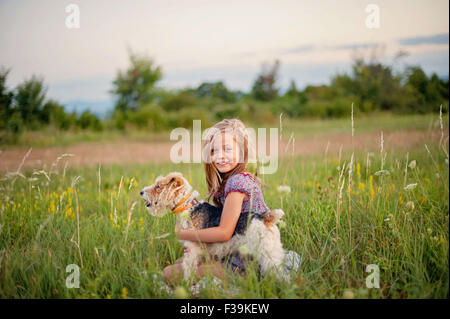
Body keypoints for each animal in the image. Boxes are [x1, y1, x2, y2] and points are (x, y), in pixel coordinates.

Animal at [139, 172, 290, 282]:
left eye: (158, 186)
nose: (141, 192)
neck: (188, 207)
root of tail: (266, 217)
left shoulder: (192, 250)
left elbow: (188, 270)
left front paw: (187, 284)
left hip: (267, 254)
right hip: (274, 251)